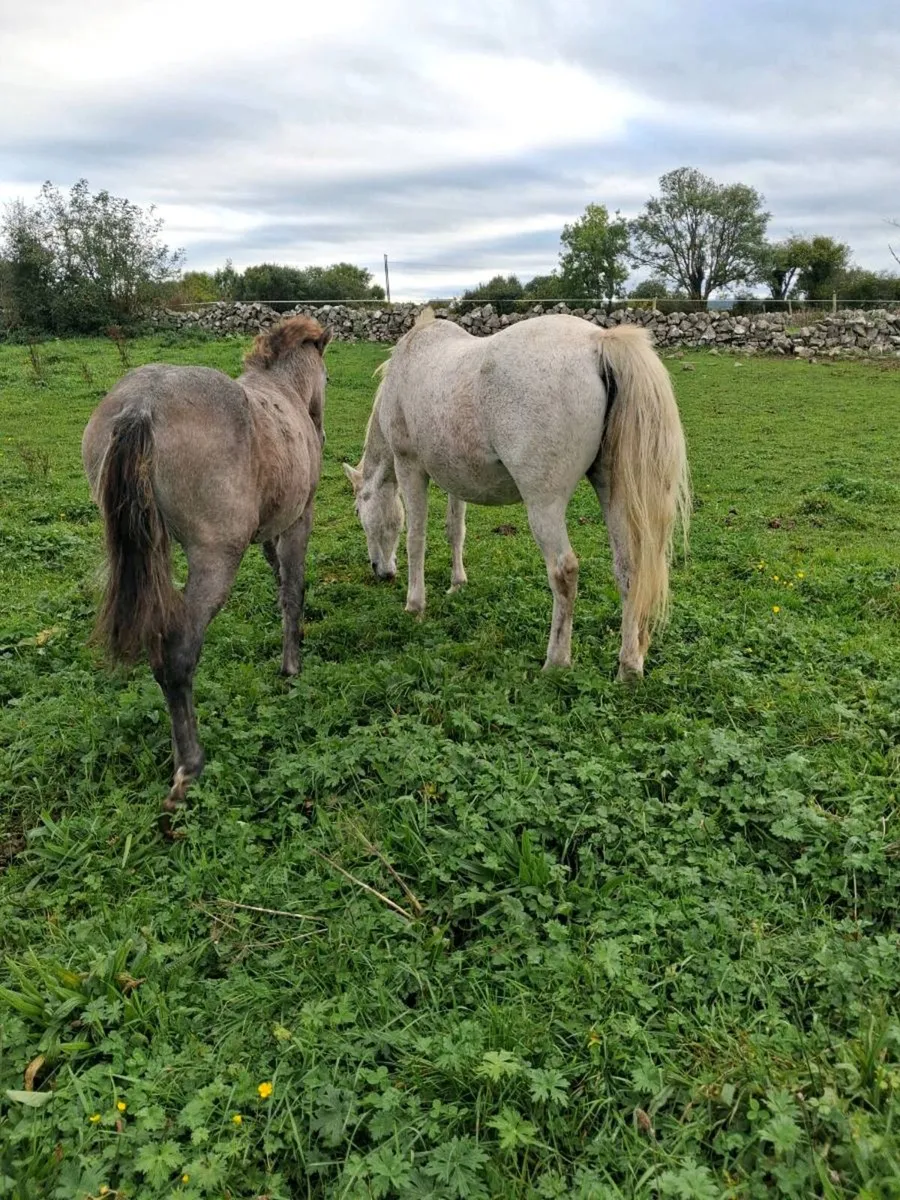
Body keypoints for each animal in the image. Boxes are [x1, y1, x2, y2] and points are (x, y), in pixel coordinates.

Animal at [82, 315, 332, 818]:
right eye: (327, 378)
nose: (322, 433)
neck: (284, 392)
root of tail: (141, 406)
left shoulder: (269, 531)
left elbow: (279, 583)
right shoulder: (299, 519)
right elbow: (293, 589)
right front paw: (292, 664)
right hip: (215, 559)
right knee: (178, 653)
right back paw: (189, 768)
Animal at [343, 310, 689, 678]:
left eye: (358, 512)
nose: (380, 571)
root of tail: (598, 342)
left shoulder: (410, 467)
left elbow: (415, 538)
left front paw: (415, 604)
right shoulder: (455, 477)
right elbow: (455, 530)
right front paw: (457, 583)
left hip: (544, 504)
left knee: (564, 571)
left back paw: (556, 661)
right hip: (614, 494)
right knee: (629, 570)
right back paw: (629, 667)